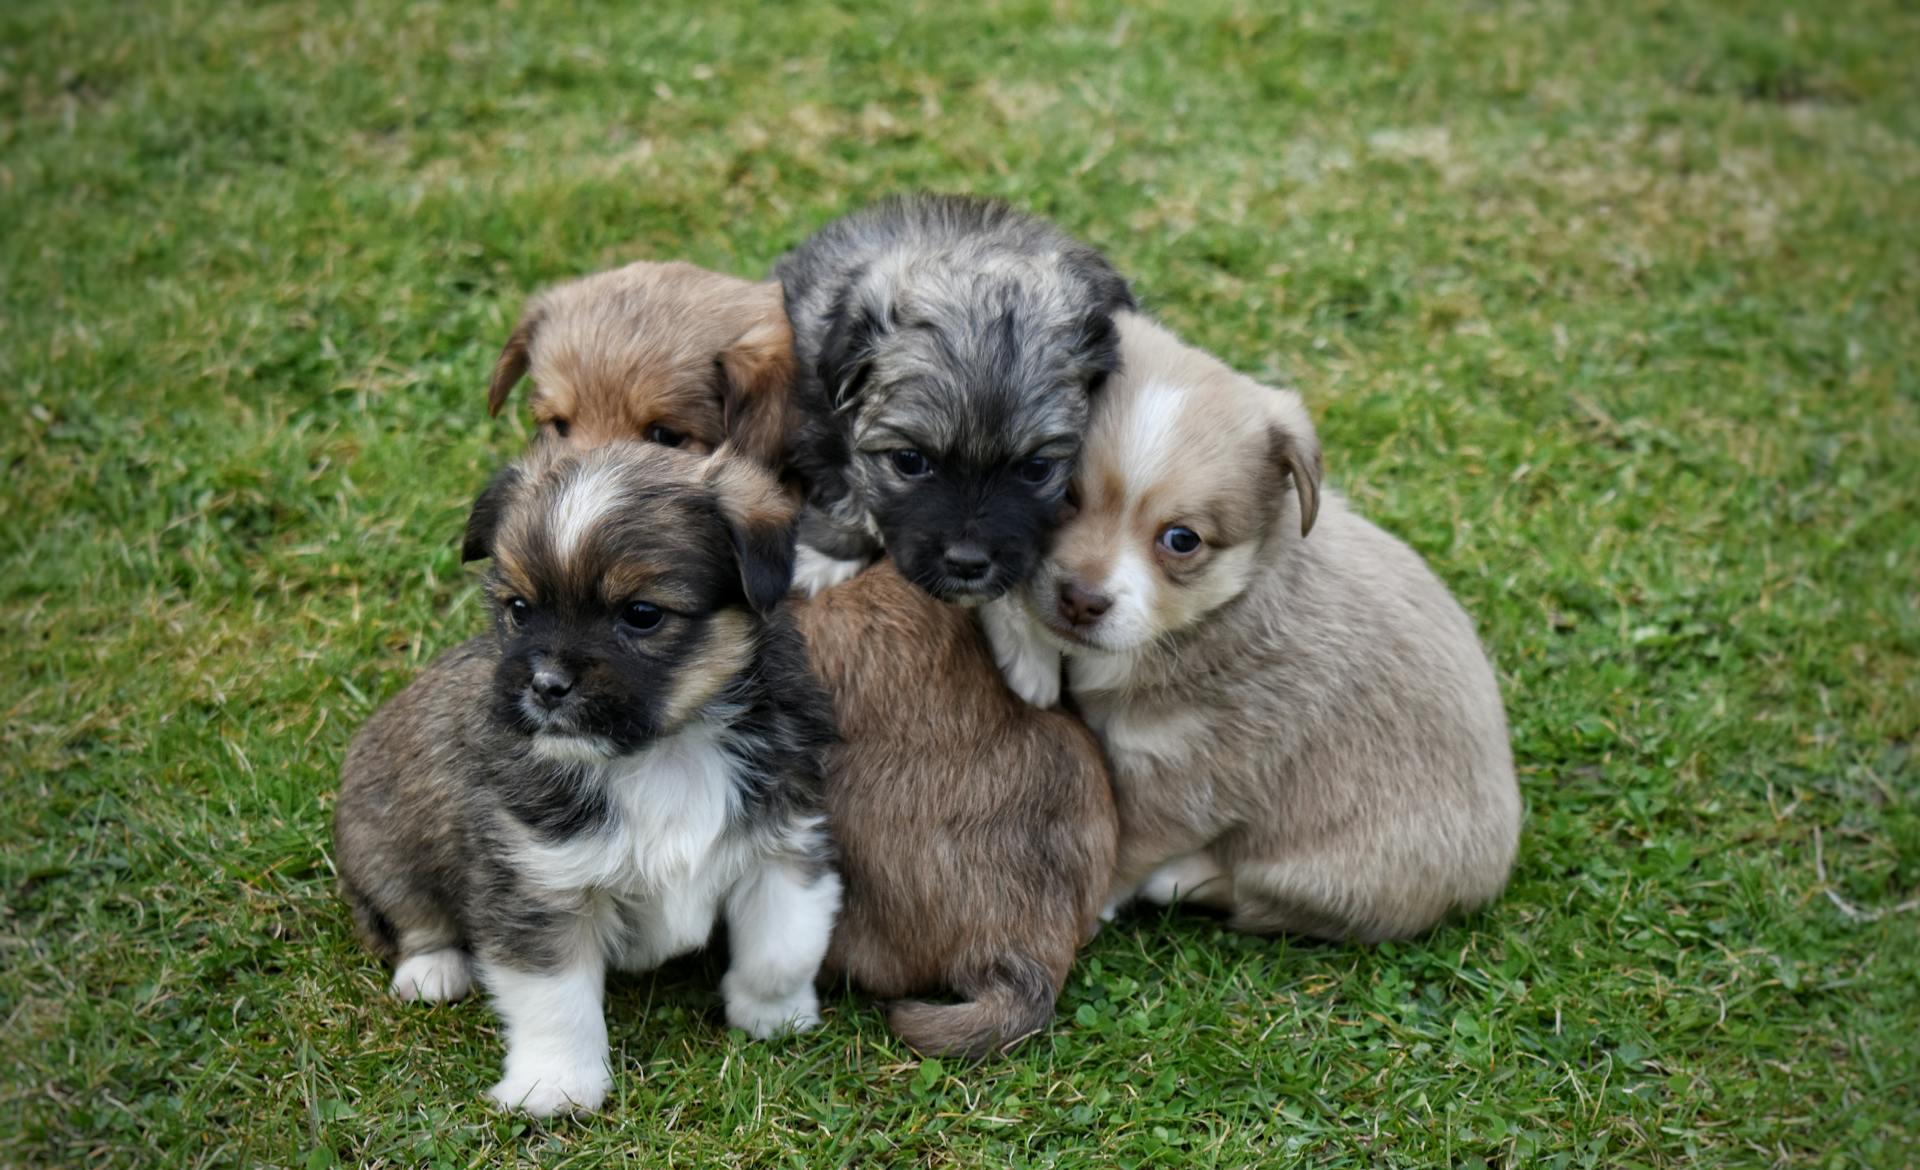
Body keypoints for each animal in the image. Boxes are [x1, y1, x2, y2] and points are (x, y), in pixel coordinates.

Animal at [336, 438, 840, 1114]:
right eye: (519, 610)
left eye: (642, 614)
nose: (546, 685)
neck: (663, 754)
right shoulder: (539, 887)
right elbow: (556, 1001)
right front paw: (556, 1086)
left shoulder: (783, 844)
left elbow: (783, 948)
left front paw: (774, 1014)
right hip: (384, 845)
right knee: (411, 915)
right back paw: (434, 969)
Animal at [771, 193, 1128, 607]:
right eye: (909, 461)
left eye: (1037, 468)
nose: (968, 563)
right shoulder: (820, 426)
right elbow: (841, 492)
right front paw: (825, 556)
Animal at [983, 311, 1520, 941]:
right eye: (1063, 492)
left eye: (1182, 539)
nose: (1081, 601)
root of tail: (1490, 876)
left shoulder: (1189, 775)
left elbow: (1126, 850)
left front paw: (1085, 915)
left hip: (1326, 879)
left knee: (1253, 899)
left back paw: (1180, 878)